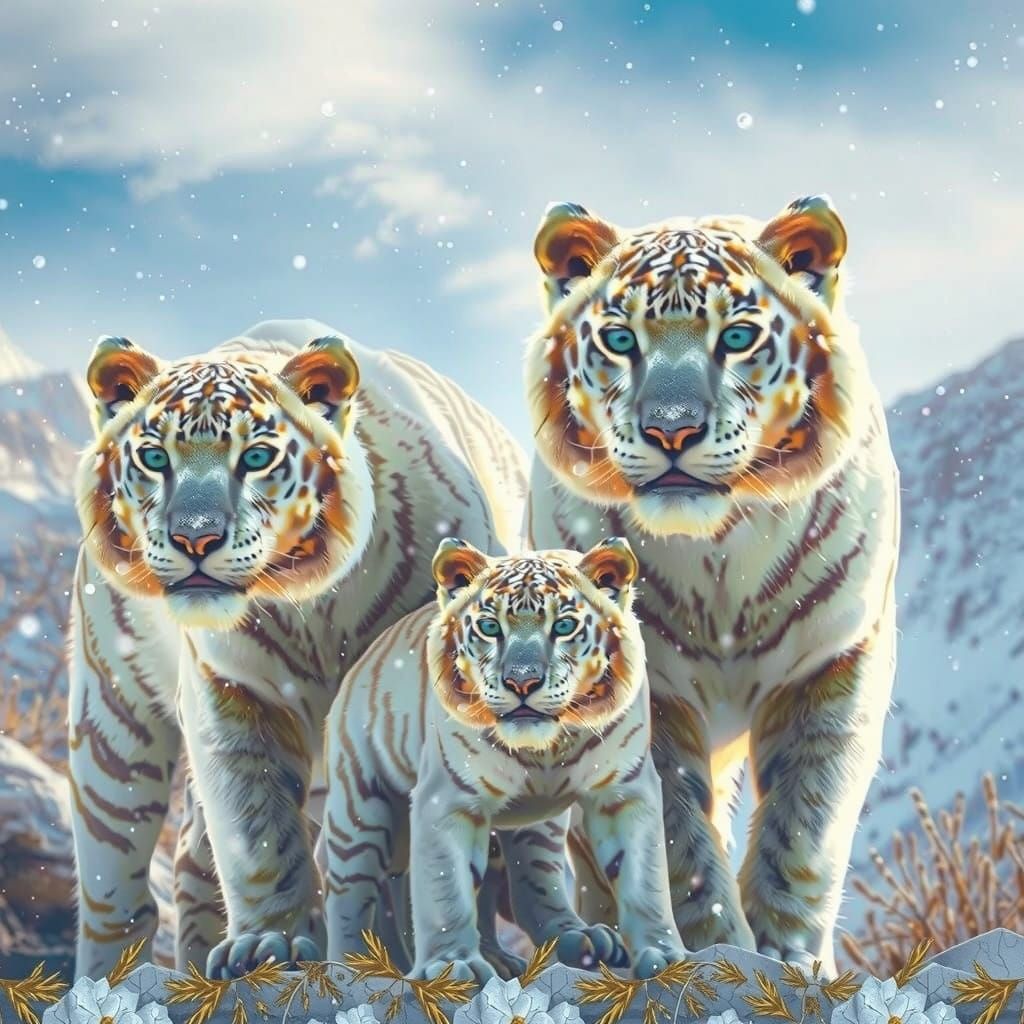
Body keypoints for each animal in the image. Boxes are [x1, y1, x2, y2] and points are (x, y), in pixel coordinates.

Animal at [69, 318, 527, 980]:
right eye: (155, 459)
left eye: (256, 458)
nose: (195, 538)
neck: (306, 607)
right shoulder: (231, 694)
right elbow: (256, 832)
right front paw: (270, 944)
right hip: (113, 727)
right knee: (119, 886)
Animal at [323, 538, 688, 983]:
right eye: (490, 627)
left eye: (563, 627)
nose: (522, 682)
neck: (547, 750)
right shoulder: (447, 800)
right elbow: (446, 889)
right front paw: (454, 964)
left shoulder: (625, 790)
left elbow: (645, 880)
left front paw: (665, 957)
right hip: (359, 806)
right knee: (349, 890)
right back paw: (353, 965)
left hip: (539, 827)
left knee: (533, 885)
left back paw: (576, 941)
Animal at [523, 196, 899, 974]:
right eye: (619, 340)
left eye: (737, 336)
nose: (673, 431)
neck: (720, 555)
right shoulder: (641, 696)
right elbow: (676, 843)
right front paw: (718, 951)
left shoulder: (834, 663)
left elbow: (803, 827)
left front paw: (788, 961)